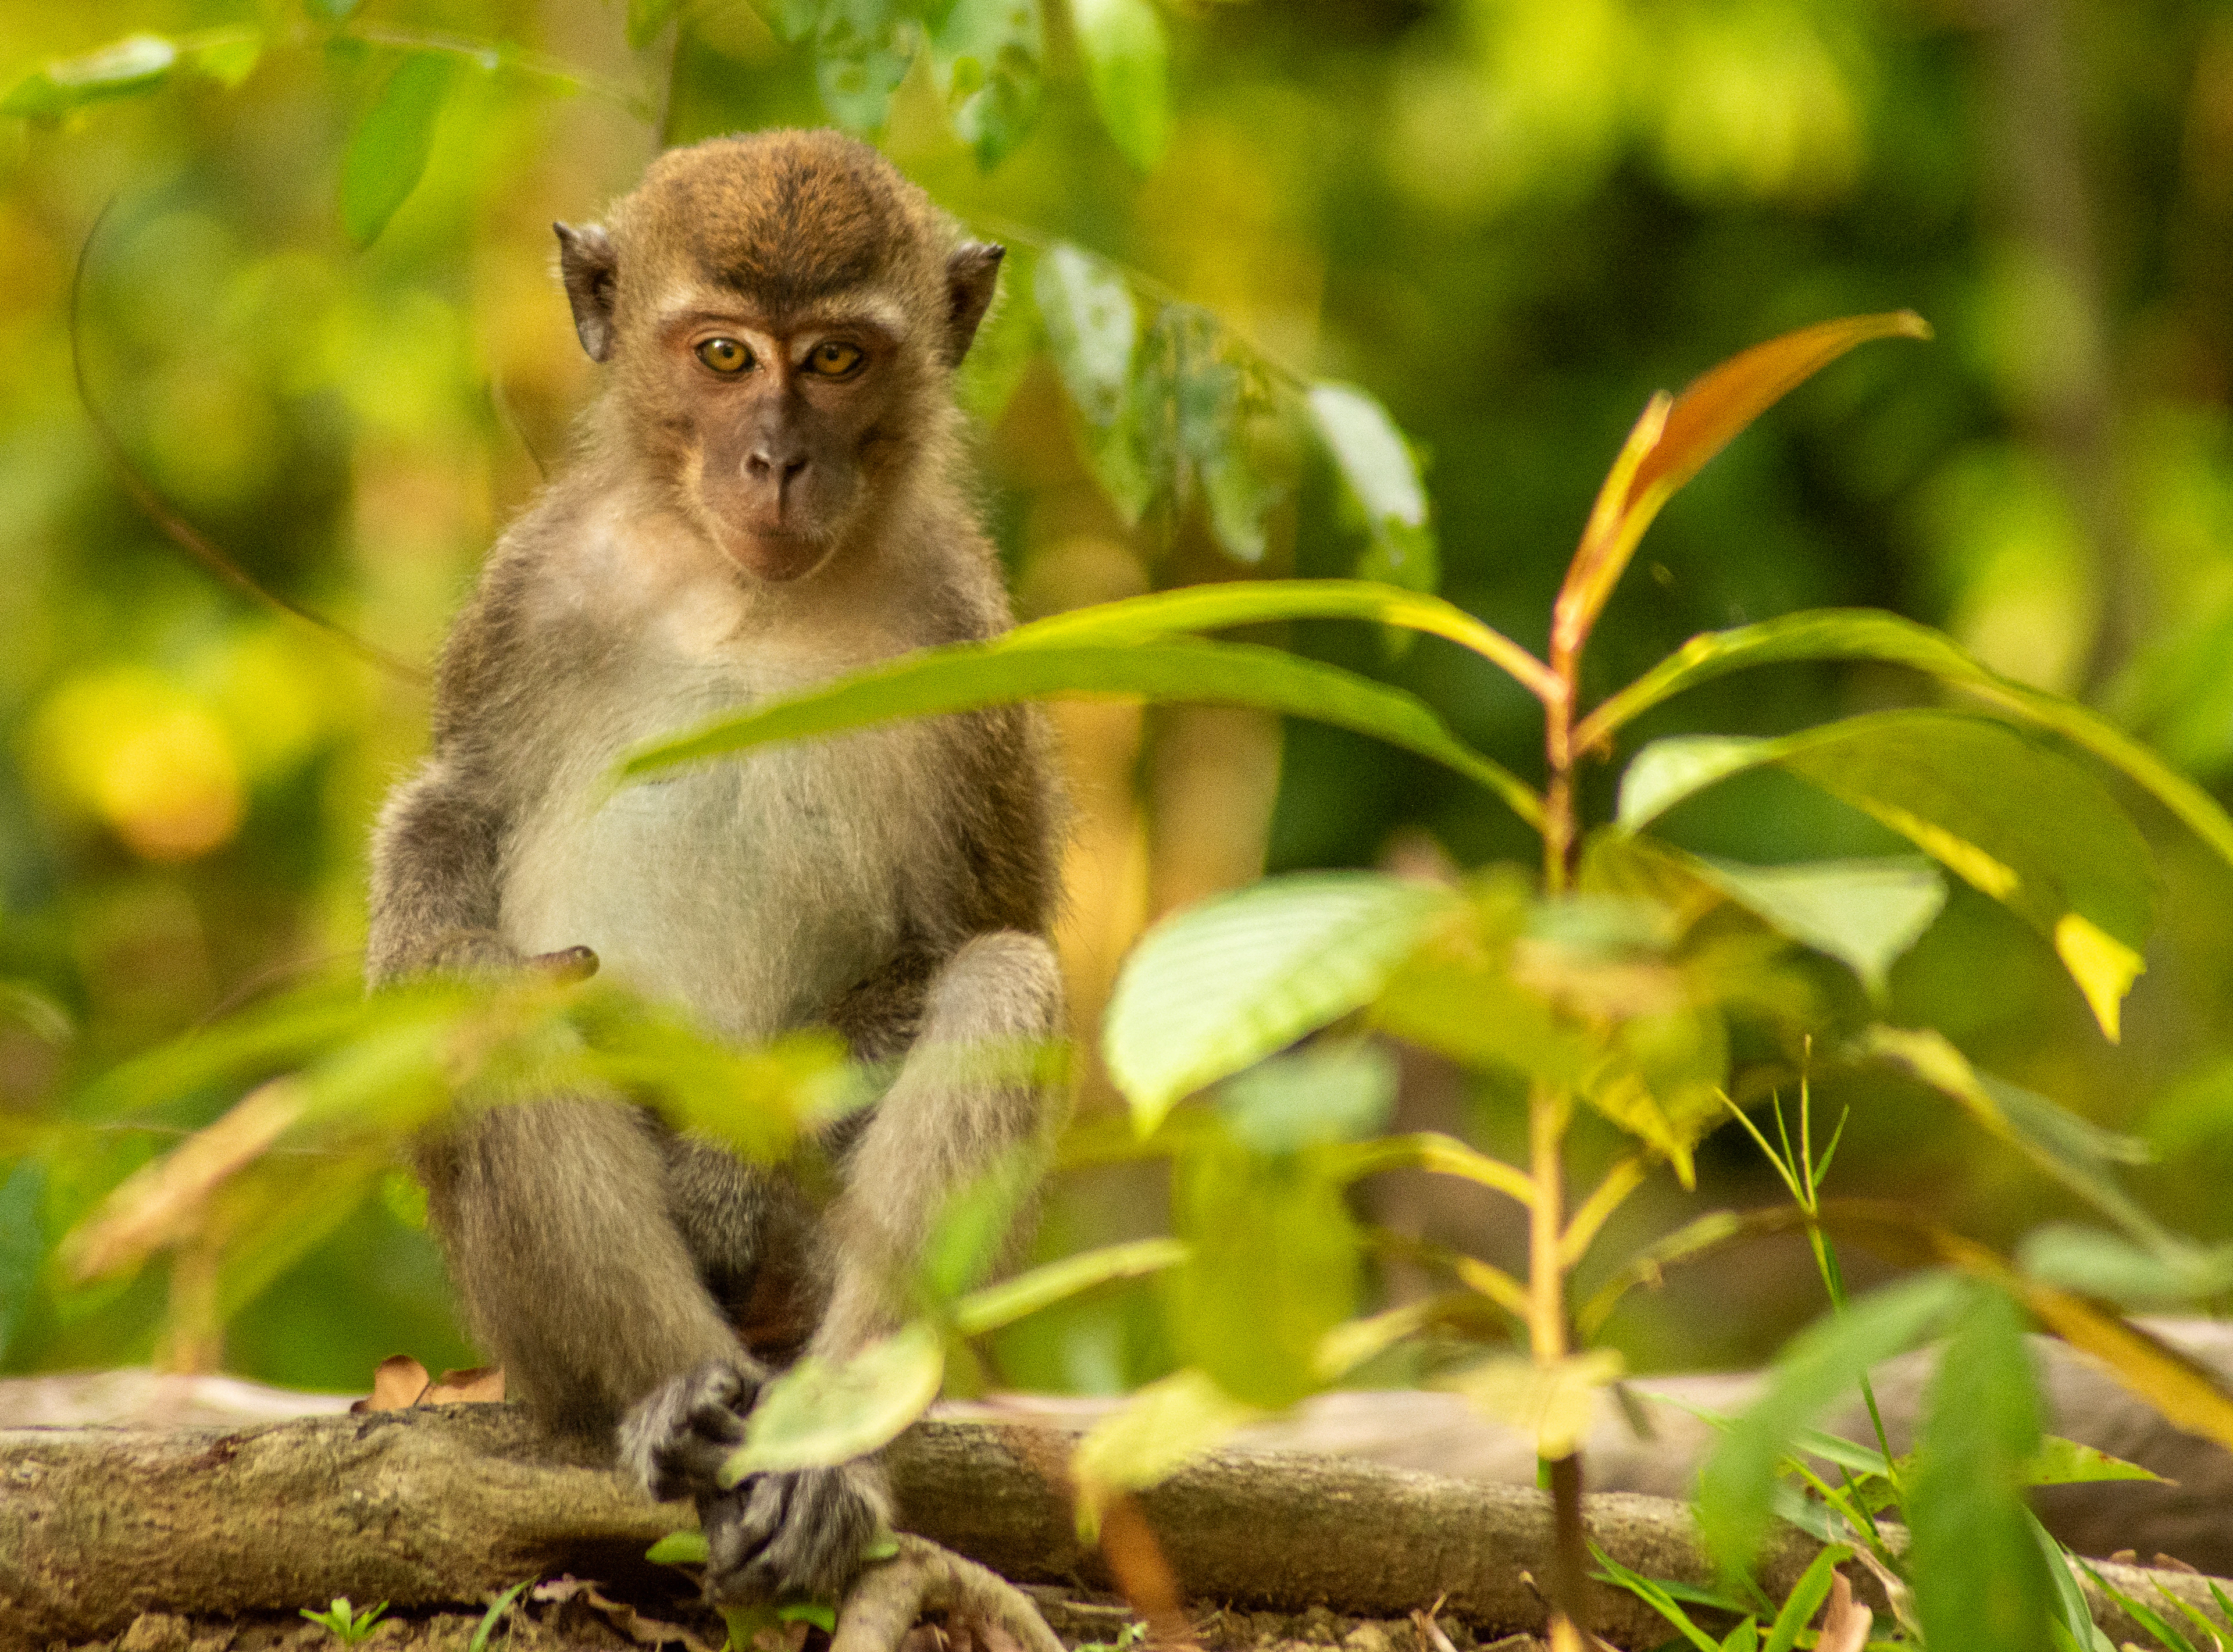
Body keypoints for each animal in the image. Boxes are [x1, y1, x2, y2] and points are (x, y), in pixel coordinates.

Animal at [365, 129, 1064, 1608]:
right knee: (463, 945)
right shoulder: (530, 589)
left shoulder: (968, 640)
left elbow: (977, 925)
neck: (747, 593)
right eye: (727, 356)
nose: (775, 461)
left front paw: (728, 1180)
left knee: (1006, 980)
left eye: (839, 360)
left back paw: (824, 1454)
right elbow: (450, 828)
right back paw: (670, 1400)